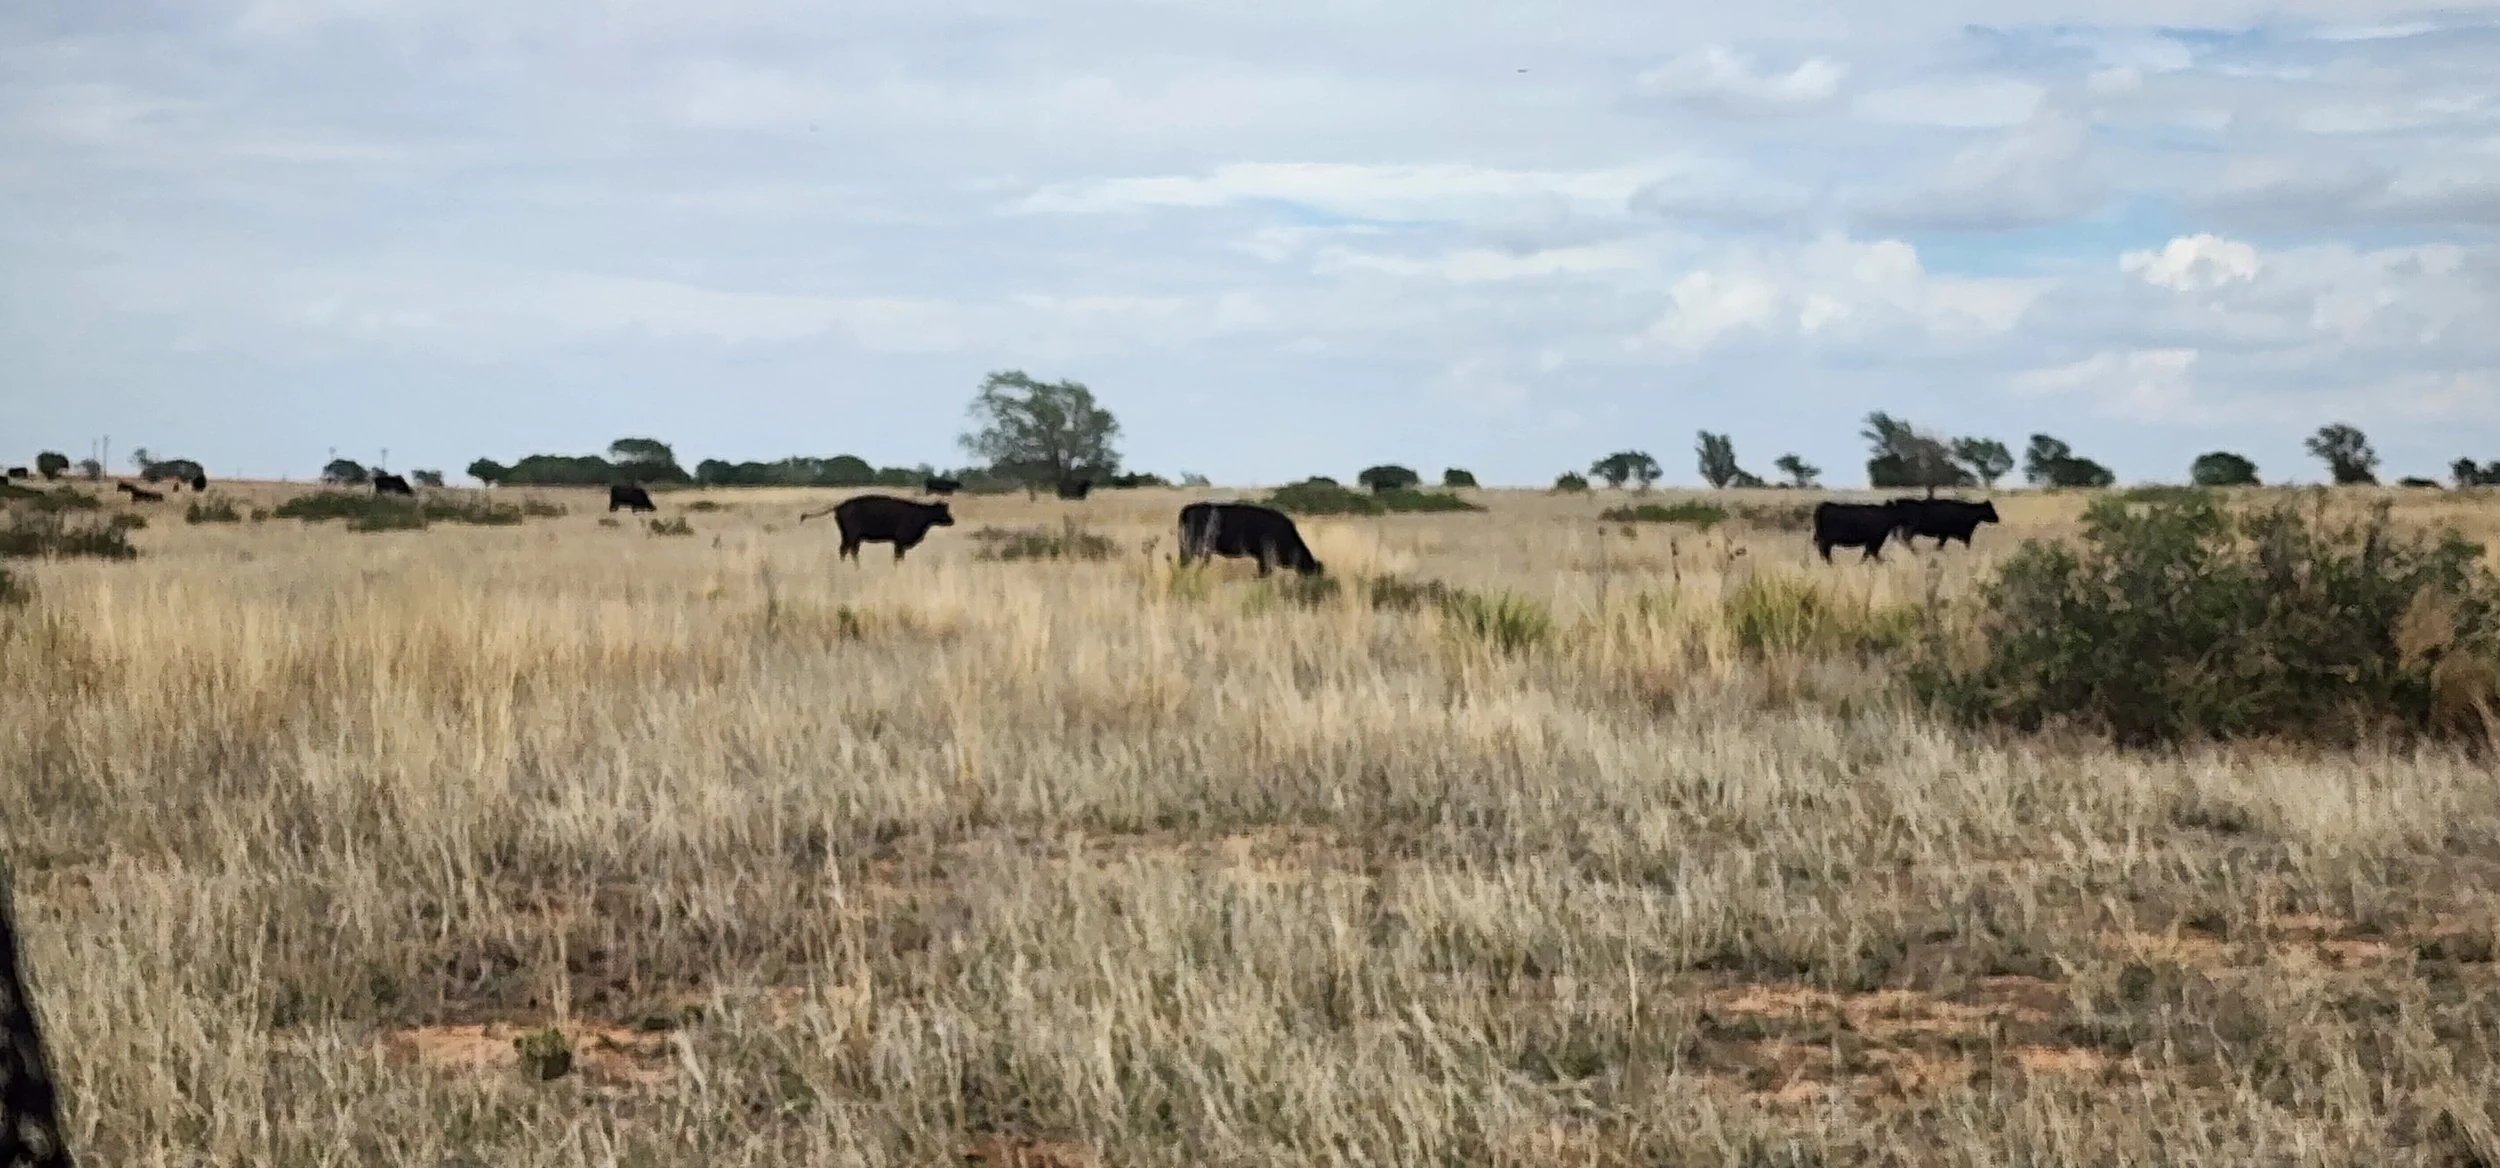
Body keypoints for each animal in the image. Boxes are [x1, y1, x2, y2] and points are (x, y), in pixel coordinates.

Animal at [798, 494, 954, 563]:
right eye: (944, 511)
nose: (952, 520)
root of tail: (840, 504)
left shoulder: (899, 542)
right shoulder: (900, 541)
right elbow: (898, 557)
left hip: (847, 536)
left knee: (844, 550)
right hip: (853, 535)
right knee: (851, 551)